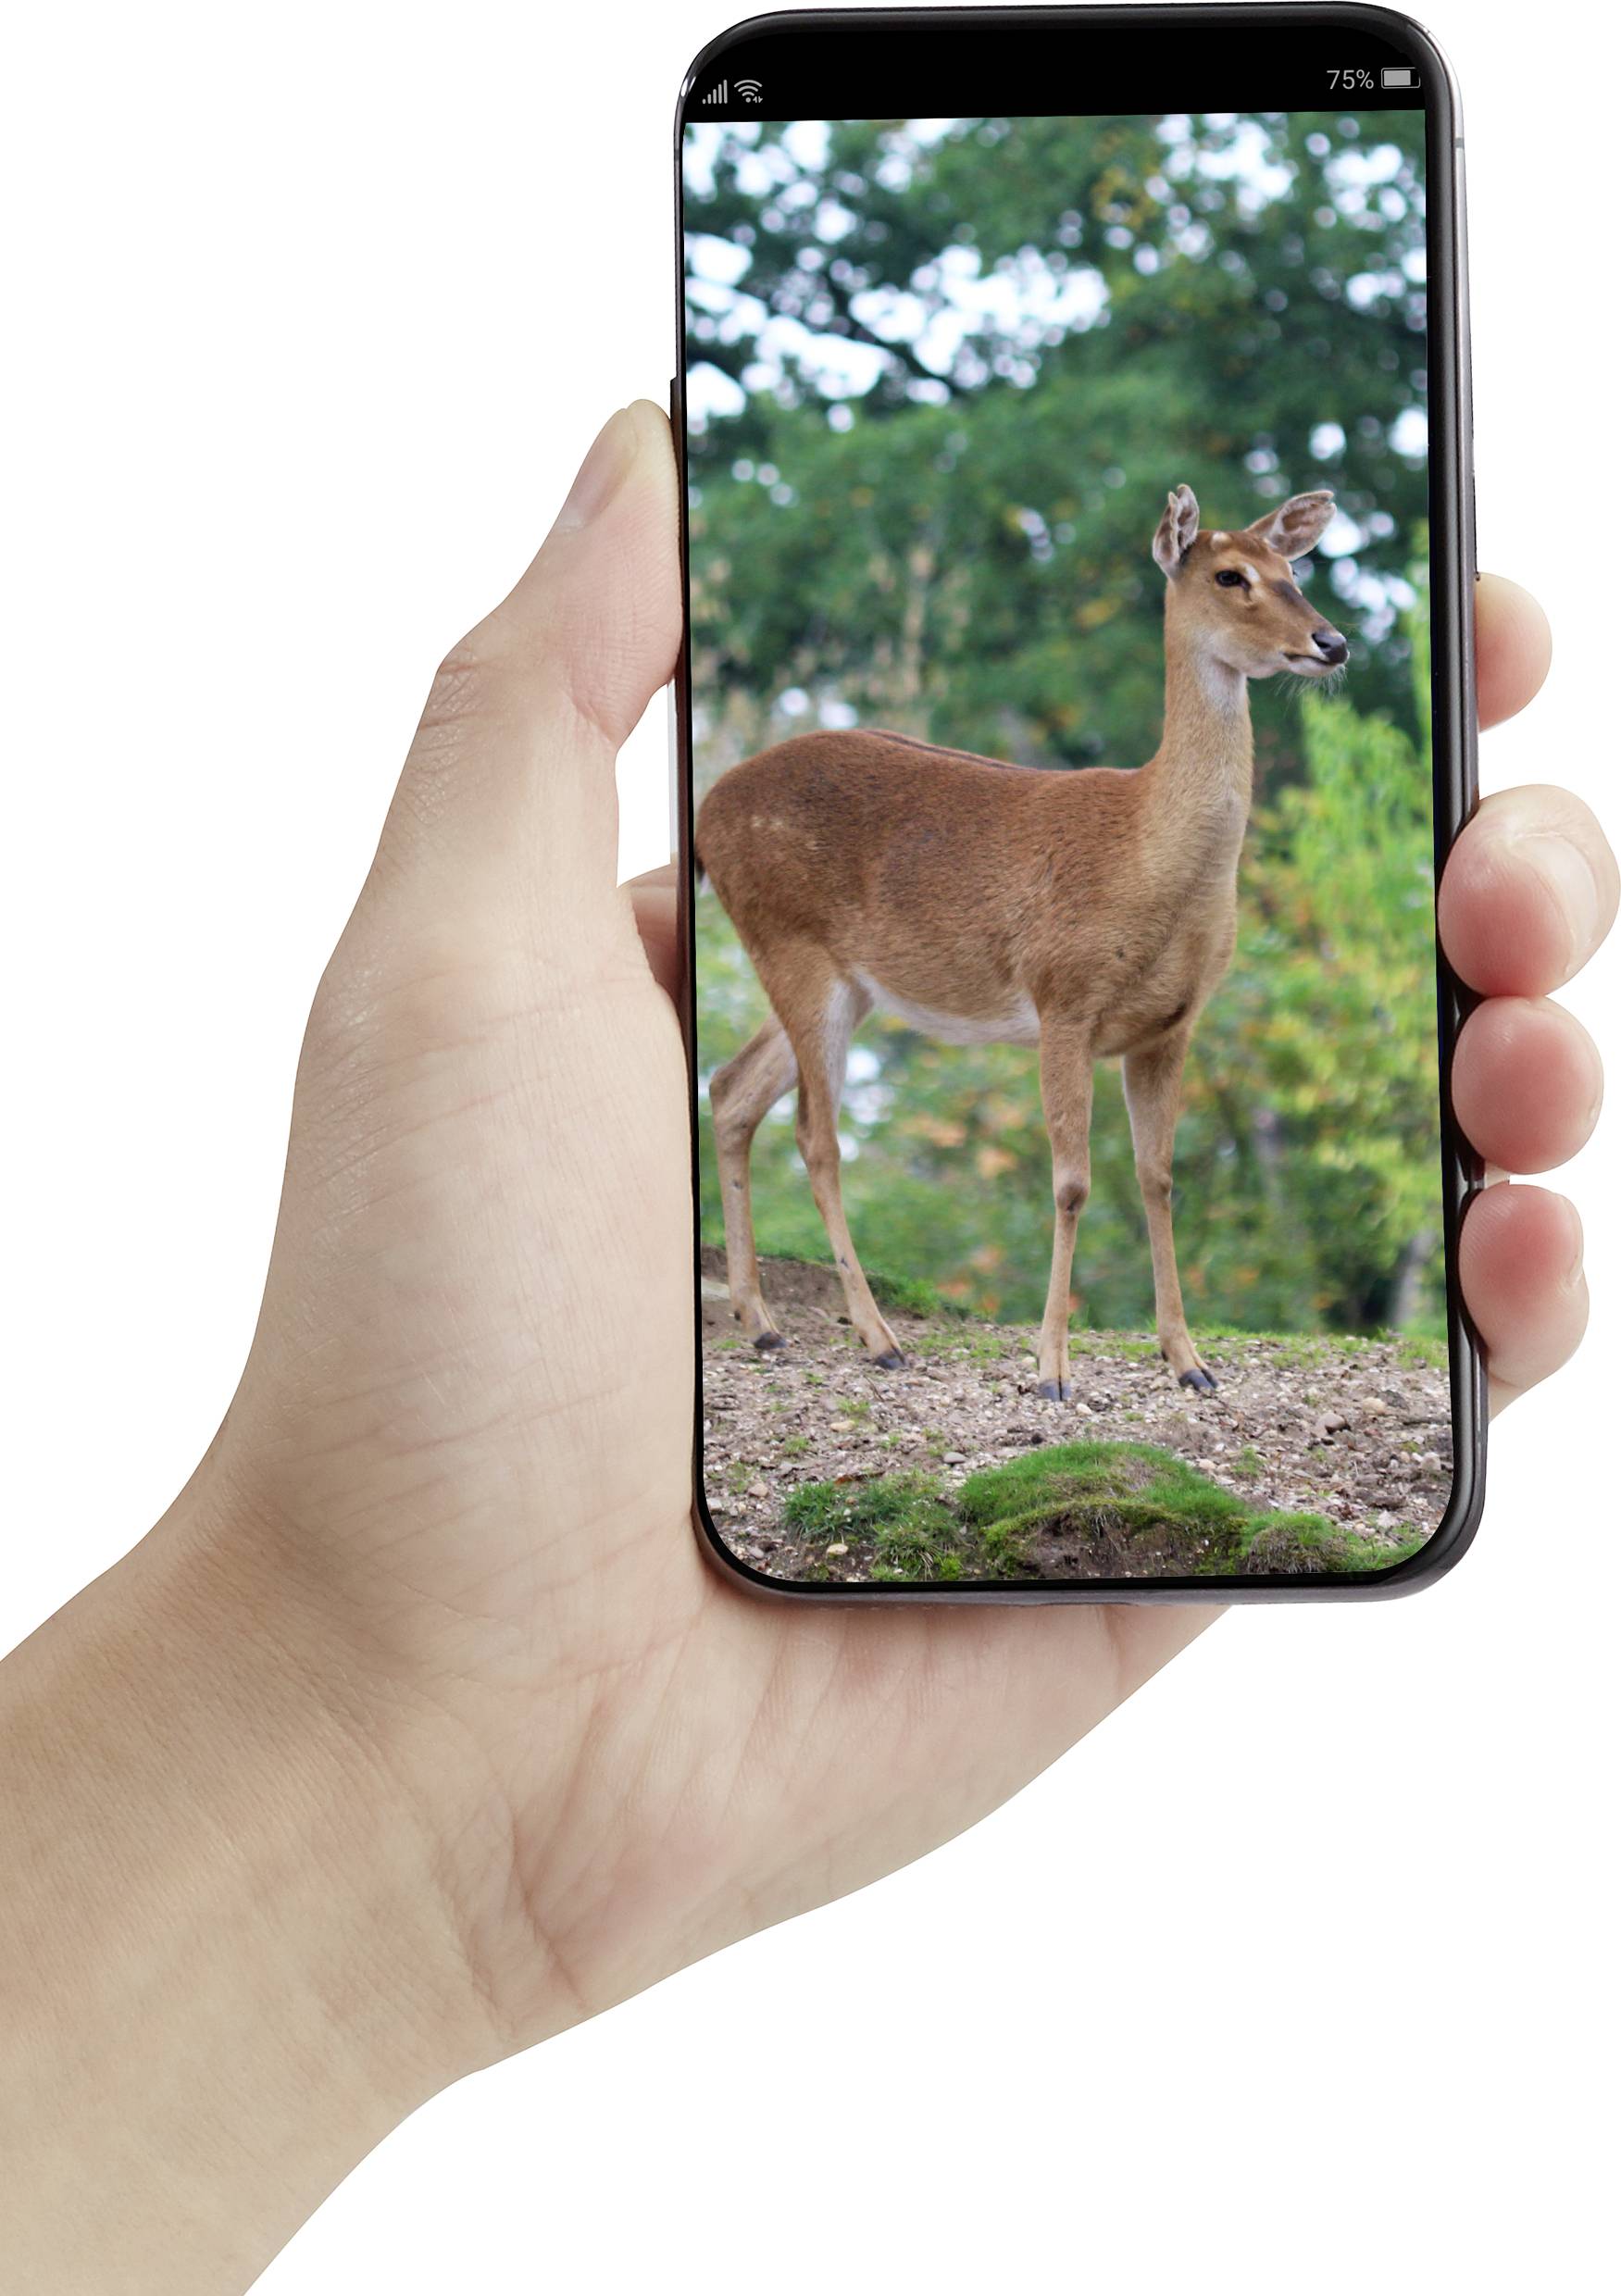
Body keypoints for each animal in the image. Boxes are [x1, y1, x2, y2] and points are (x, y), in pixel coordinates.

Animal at [696, 484, 1347, 1398]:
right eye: (1230, 575)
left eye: (1292, 569)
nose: (1331, 642)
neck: (1146, 858)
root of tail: (704, 813)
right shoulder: (1061, 996)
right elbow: (1072, 1183)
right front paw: (1050, 1368)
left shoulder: (1170, 1025)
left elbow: (1158, 1179)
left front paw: (1189, 1361)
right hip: (790, 943)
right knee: (814, 1140)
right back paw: (877, 1337)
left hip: (844, 982)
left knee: (732, 1089)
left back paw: (762, 1322)